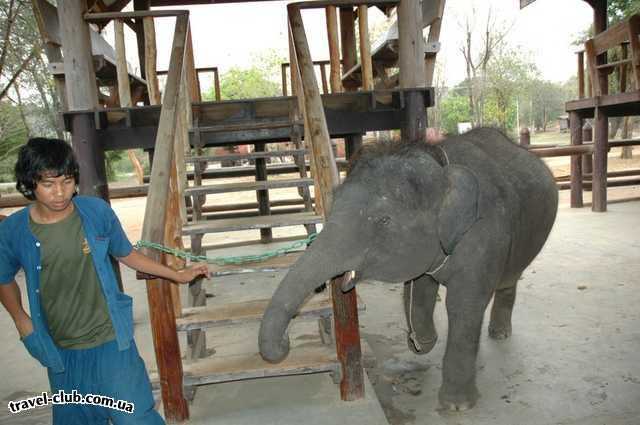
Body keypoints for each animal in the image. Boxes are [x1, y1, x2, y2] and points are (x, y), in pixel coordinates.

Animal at [258, 127, 556, 410]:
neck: (440, 164)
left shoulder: (485, 235)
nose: (286, 342)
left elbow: (464, 304)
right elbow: (418, 290)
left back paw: (499, 334)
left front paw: (456, 405)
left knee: (508, 278)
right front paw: (423, 344)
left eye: (384, 220)